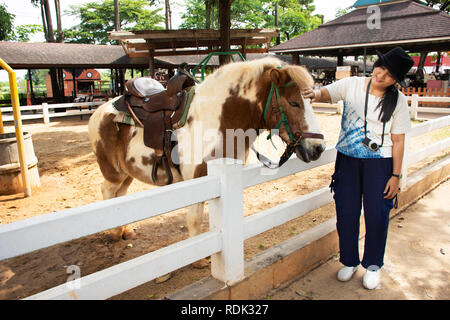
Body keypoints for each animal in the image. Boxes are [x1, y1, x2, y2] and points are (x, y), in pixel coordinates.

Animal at [87, 57, 324, 264]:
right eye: (294, 102)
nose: (318, 148)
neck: (214, 119)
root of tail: (101, 110)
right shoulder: (196, 180)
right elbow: (194, 220)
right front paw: (200, 261)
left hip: (127, 172)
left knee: (120, 196)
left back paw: (125, 230)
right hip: (113, 172)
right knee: (107, 191)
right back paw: (115, 232)